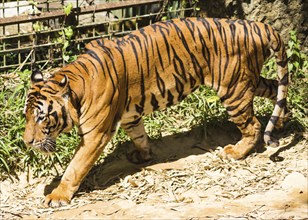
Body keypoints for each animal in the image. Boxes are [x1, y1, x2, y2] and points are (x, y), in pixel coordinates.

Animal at [23, 16, 288, 206]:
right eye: (26, 116)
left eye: (42, 117)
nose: (27, 142)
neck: (77, 84)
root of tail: (257, 25)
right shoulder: (130, 115)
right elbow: (139, 135)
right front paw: (143, 155)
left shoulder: (95, 135)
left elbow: (75, 167)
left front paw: (57, 196)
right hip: (248, 81)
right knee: (277, 88)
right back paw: (282, 122)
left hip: (234, 88)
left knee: (253, 124)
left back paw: (236, 152)